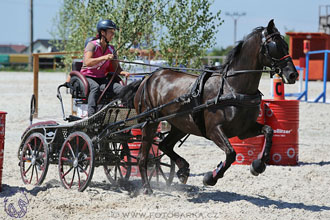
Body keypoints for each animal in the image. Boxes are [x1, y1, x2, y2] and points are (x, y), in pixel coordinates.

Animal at [119, 19, 300, 193]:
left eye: (286, 45)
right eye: (275, 46)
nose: (293, 74)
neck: (233, 88)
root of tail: (148, 78)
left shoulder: (244, 130)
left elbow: (269, 131)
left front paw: (257, 166)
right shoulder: (214, 130)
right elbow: (231, 153)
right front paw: (210, 177)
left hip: (180, 125)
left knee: (165, 145)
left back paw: (183, 170)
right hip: (149, 123)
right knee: (142, 156)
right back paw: (147, 187)